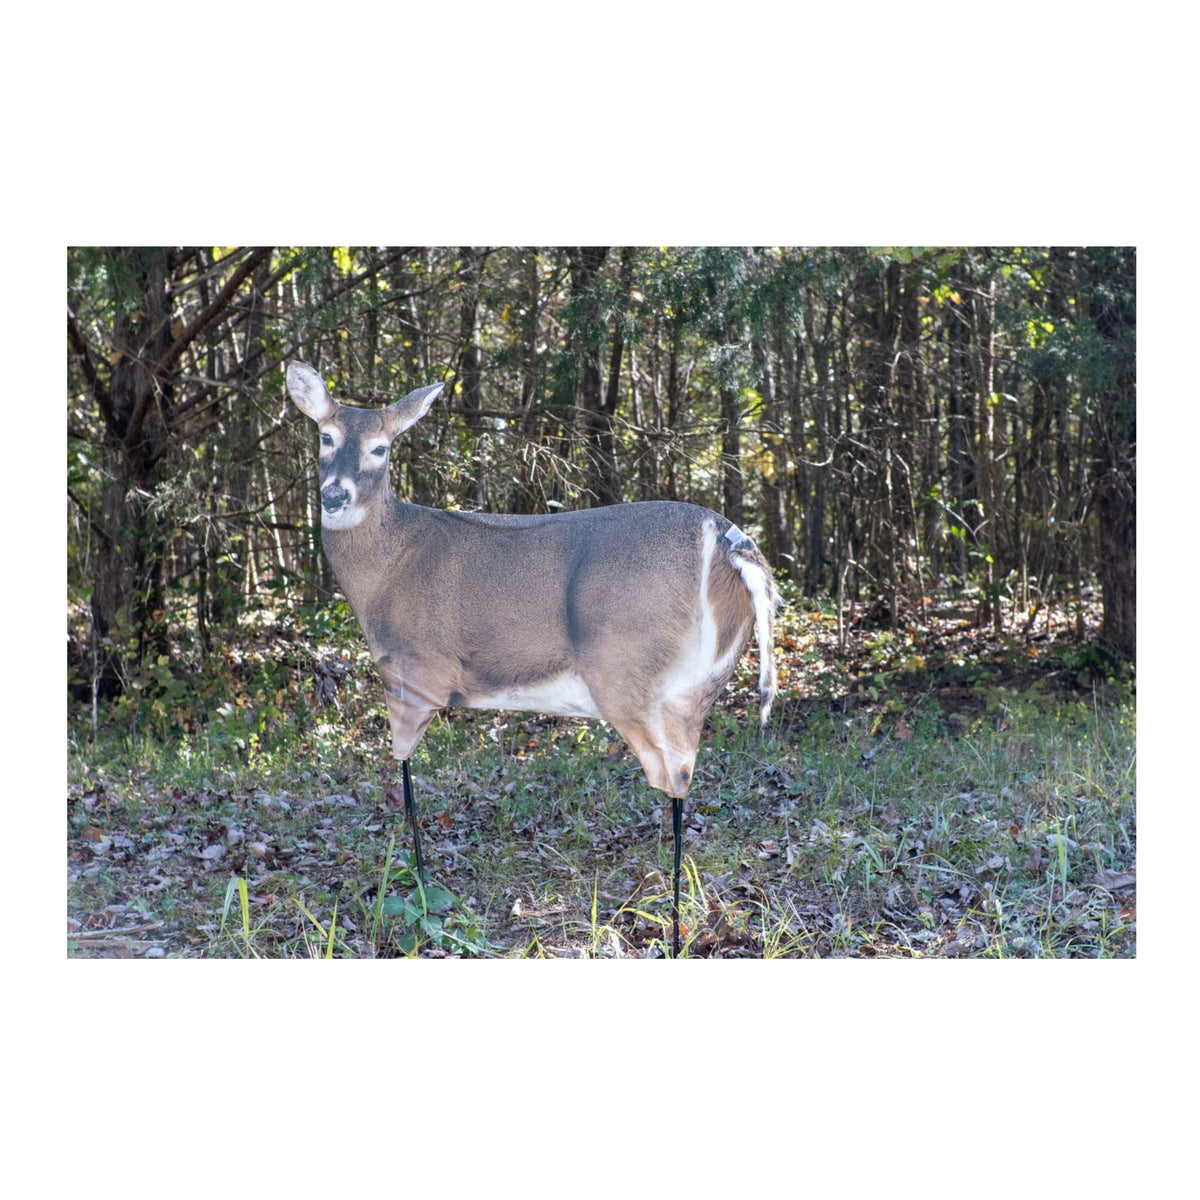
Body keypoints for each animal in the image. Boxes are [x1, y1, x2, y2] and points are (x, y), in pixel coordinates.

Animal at [286, 360, 777, 956]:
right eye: (326, 436)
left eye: (381, 448)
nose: (335, 494)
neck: (385, 566)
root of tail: (731, 541)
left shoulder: (413, 668)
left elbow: (405, 789)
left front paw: (422, 904)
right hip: (701, 680)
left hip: (630, 671)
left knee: (675, 776)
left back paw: (675, 927)